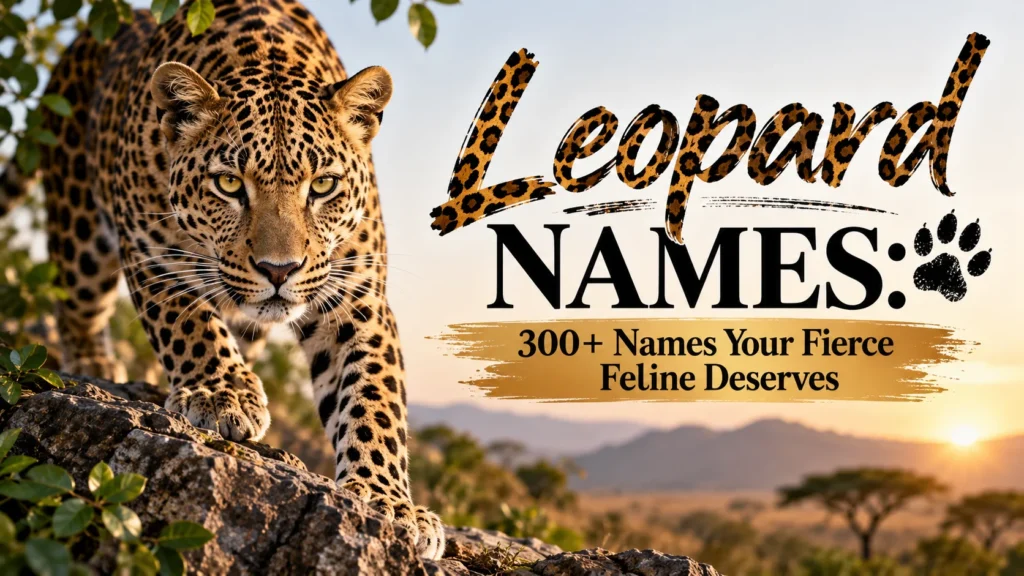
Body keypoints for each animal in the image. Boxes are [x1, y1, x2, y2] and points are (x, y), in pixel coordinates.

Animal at [9, 0, 445, 560]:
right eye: (229, 184)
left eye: (323, 185)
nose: (279, 269)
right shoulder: (153, 253)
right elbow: (189, 323)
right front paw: (223, 395)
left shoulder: (357, 296)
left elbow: (375, 398)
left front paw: (387, 502)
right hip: (80, 228)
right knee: (77, 309)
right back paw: (96, 363)